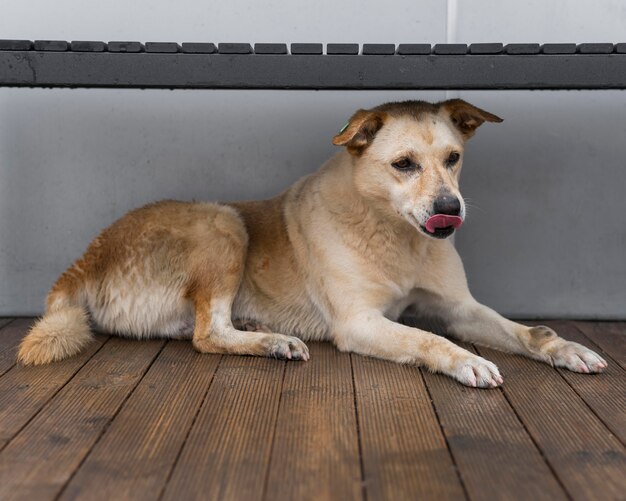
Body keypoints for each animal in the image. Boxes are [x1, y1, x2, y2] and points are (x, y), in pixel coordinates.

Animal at [18, 98, 604, 386]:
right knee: (207, 336)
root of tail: (84, 260)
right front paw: (464, 360)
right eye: (403, 164)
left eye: (454, 158)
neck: (394, 234)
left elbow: (528, 331)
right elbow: (426, 339)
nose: (449, 211)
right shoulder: (359, 322)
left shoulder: (460, 307)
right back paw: (273, 342)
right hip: (222, 222)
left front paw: (566, 348)